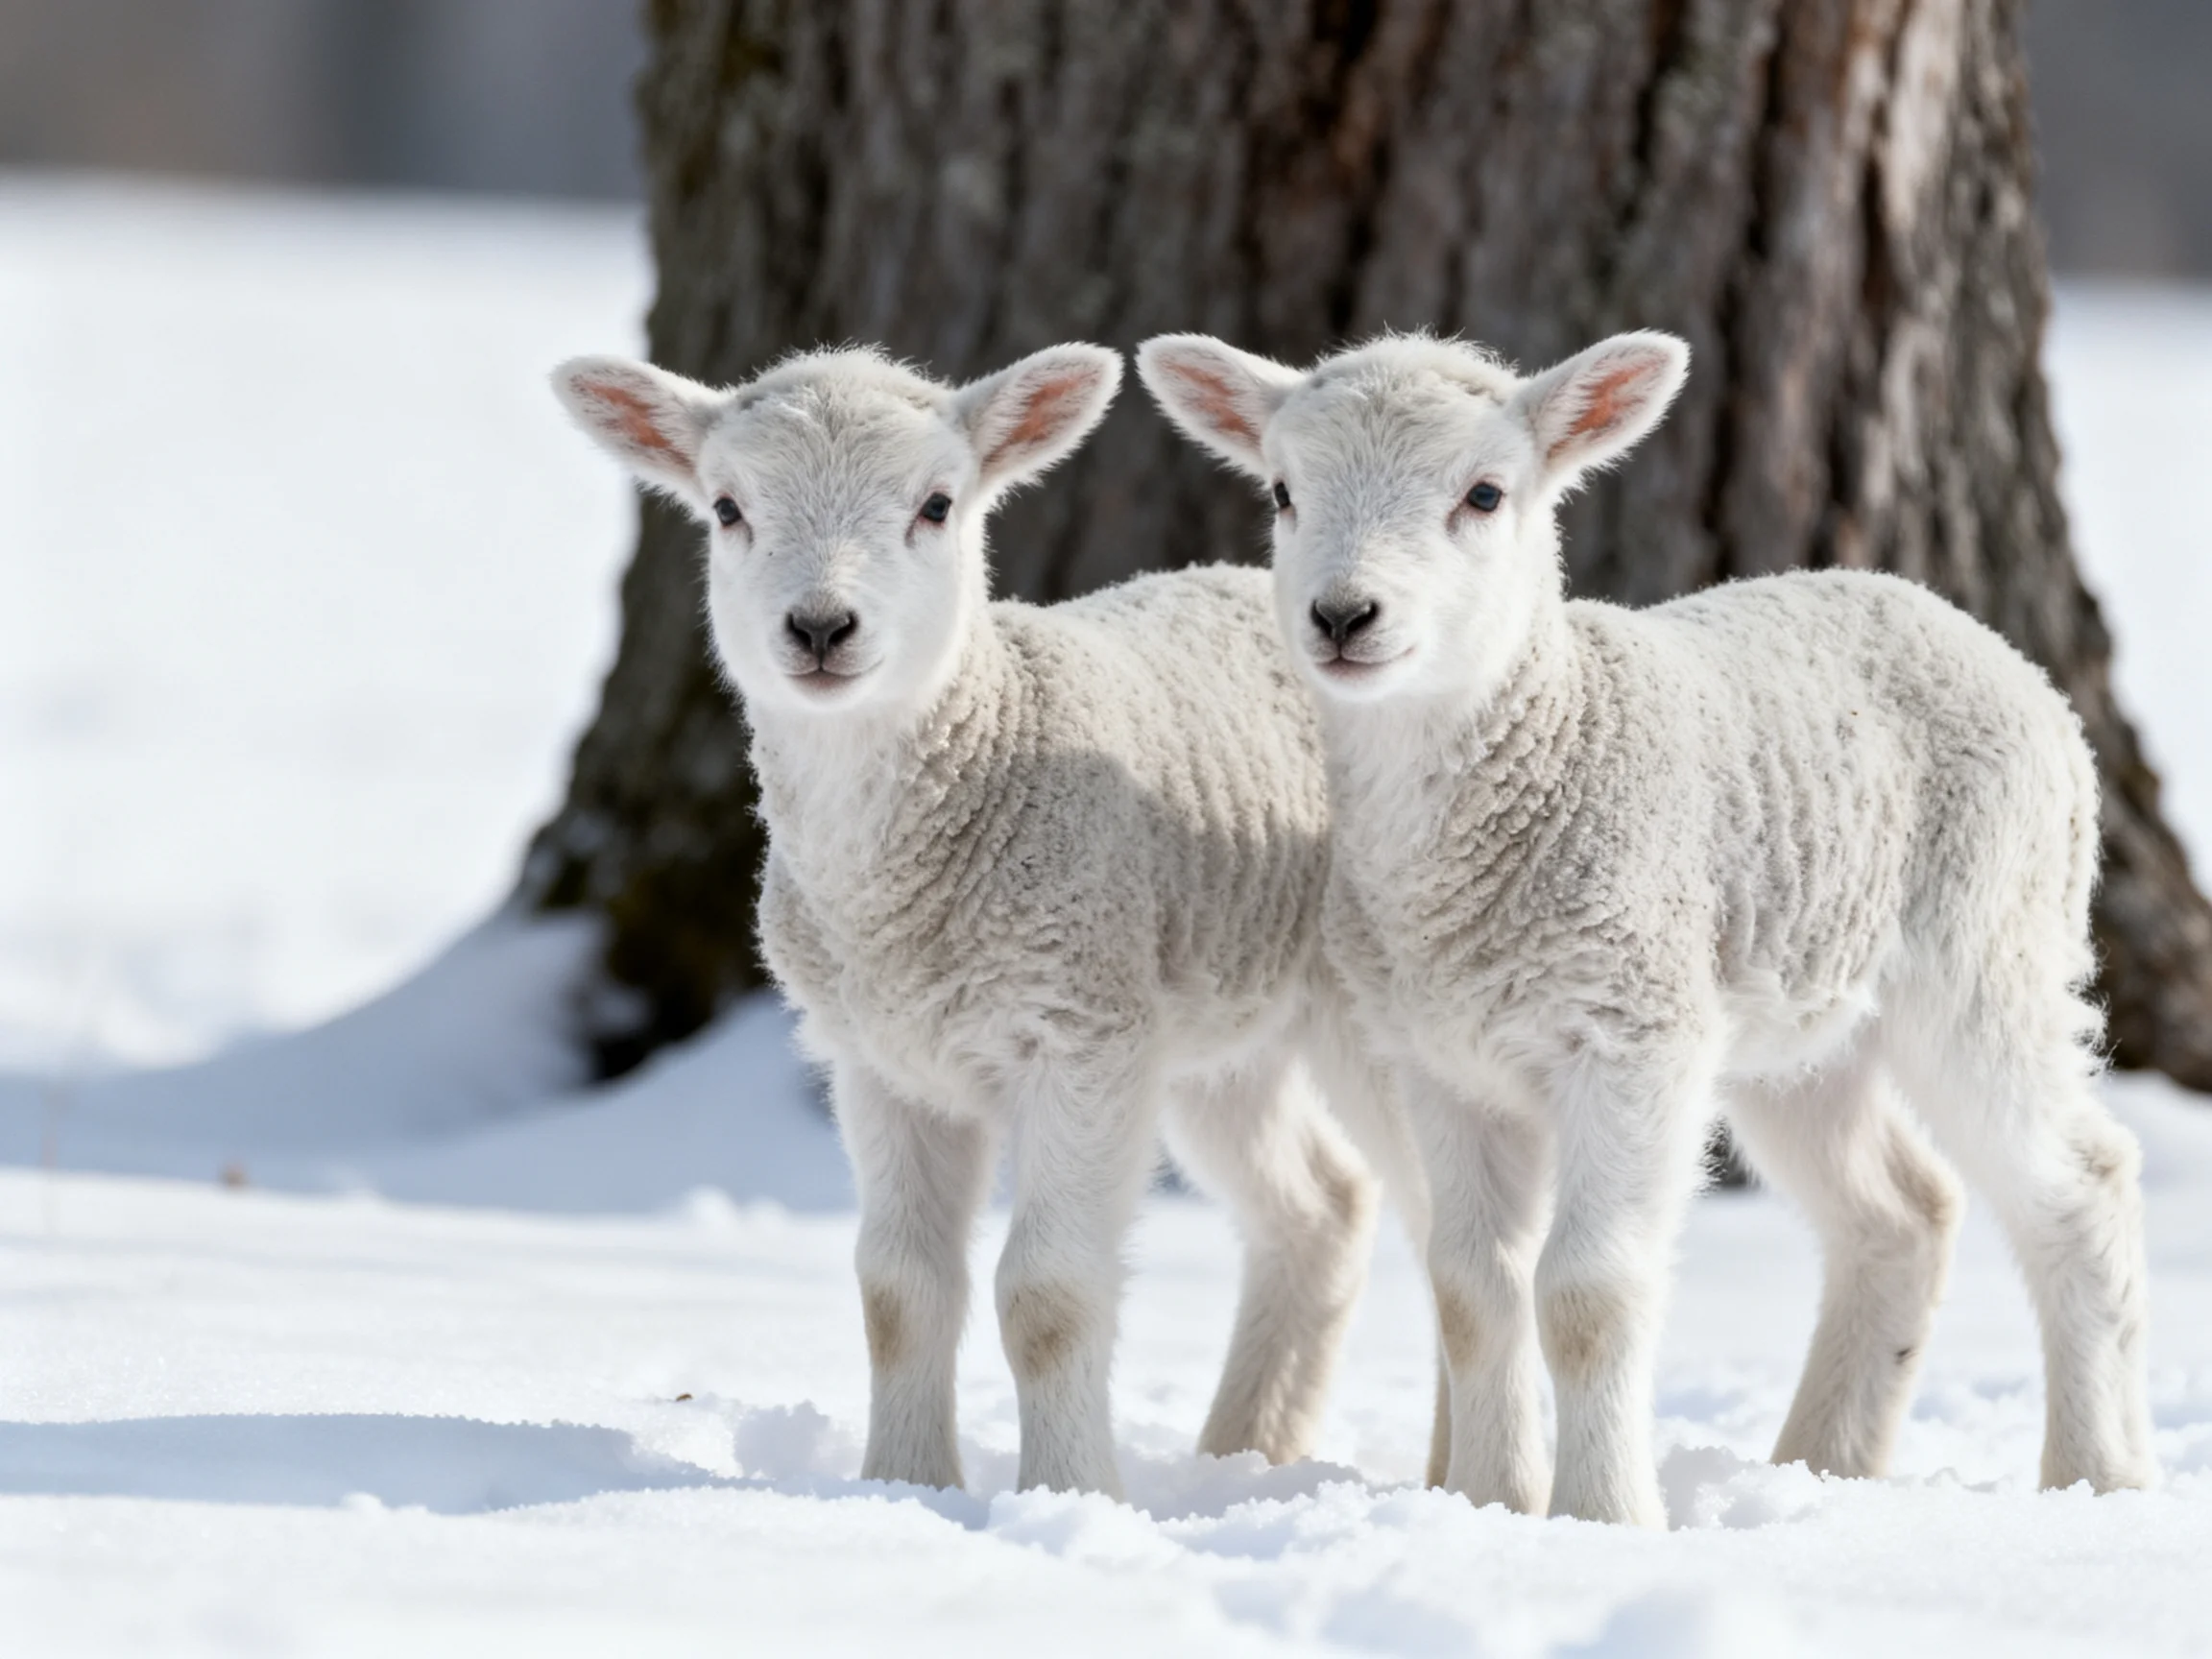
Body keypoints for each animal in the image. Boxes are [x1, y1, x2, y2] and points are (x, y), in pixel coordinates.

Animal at [552, 342, 1432, 1498]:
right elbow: (897, 1291)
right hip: (1220, 1030)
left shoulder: (1082, 1031)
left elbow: (1050, 1296)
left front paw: (1071, 1494)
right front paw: (905, 1486)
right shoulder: (883, 1059)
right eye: (728, 508)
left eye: (937, 504)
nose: (821, 628)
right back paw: (1244, 1453)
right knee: (1322, 1206)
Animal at [1138, 327, 2156, 1527]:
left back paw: (2098, 1477)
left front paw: (1602, 1517)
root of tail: (1957, 623)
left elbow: (1587, 1293)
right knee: (1901, 1213)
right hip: (1798, 1023)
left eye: (1486, 494)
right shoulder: (1441, 1057)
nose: (1343, 618)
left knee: (2082, 1181)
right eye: (1283, 493)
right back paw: (1819, 1467)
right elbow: (1470, 1288)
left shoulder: (1632, 1033)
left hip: (1989, 945)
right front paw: (1490, 1503)